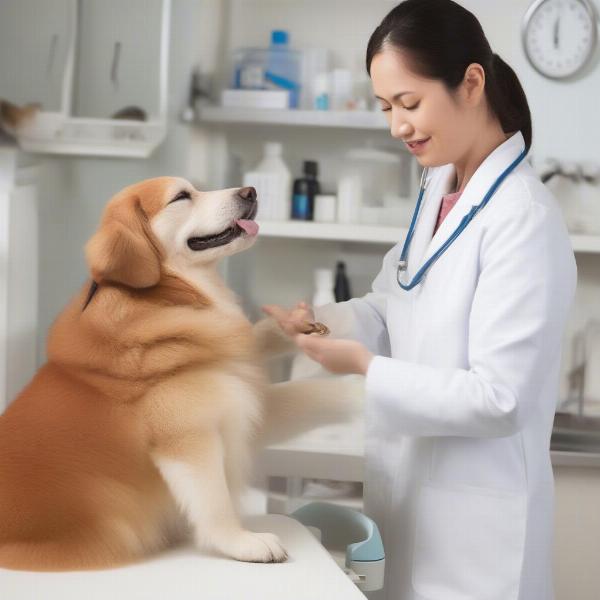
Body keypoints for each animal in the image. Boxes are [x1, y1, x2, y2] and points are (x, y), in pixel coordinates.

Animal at [0, 177, 364, 572]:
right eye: (181, 197)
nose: (250, 192)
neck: (170, 296)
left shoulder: (238, 403)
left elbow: (315, 391)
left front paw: (298, 334)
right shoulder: (188, 437)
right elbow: (215, 500)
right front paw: (243, 544)